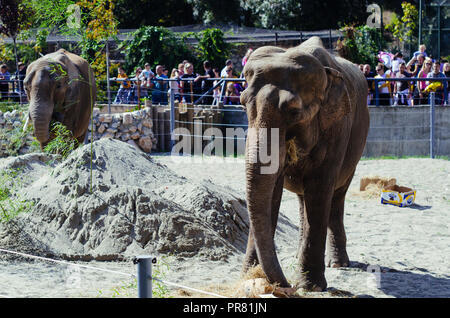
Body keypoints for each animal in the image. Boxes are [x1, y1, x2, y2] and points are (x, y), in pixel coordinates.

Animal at [239, 36, 370, 292]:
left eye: (293, 111)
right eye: (242, 103)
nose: (285, 284)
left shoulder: (338, 127)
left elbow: (319, 191)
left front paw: (310, 287)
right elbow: (273, 191)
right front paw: (249, 278)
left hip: (356, 150)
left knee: (336, 197)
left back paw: (337, 263)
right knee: (303, 199)